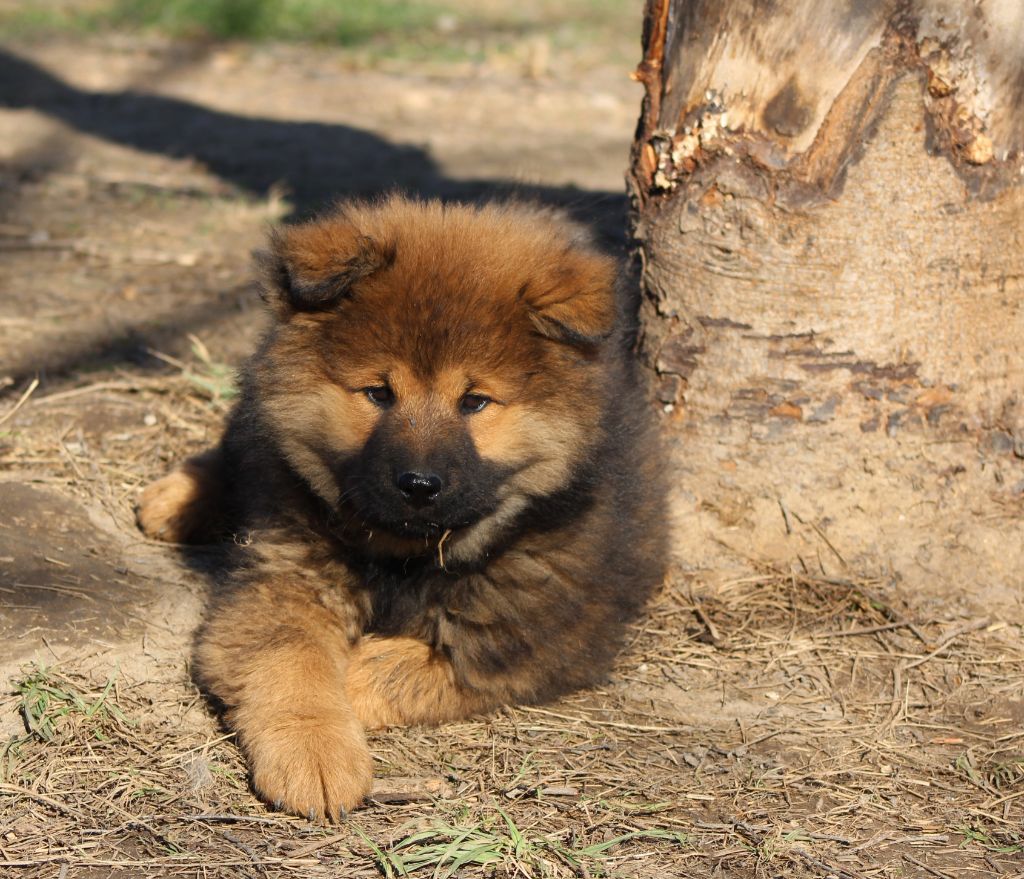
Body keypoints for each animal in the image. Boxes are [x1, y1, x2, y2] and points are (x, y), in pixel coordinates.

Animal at [140, 195, 667, 819]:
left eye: (474, 402)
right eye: (378, 393)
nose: (419, 484)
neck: (406, 555)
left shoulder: (534, 635)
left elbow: (384, 669)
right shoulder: (285, 574)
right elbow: (294, 660)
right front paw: (313, 750)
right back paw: (177, 498)